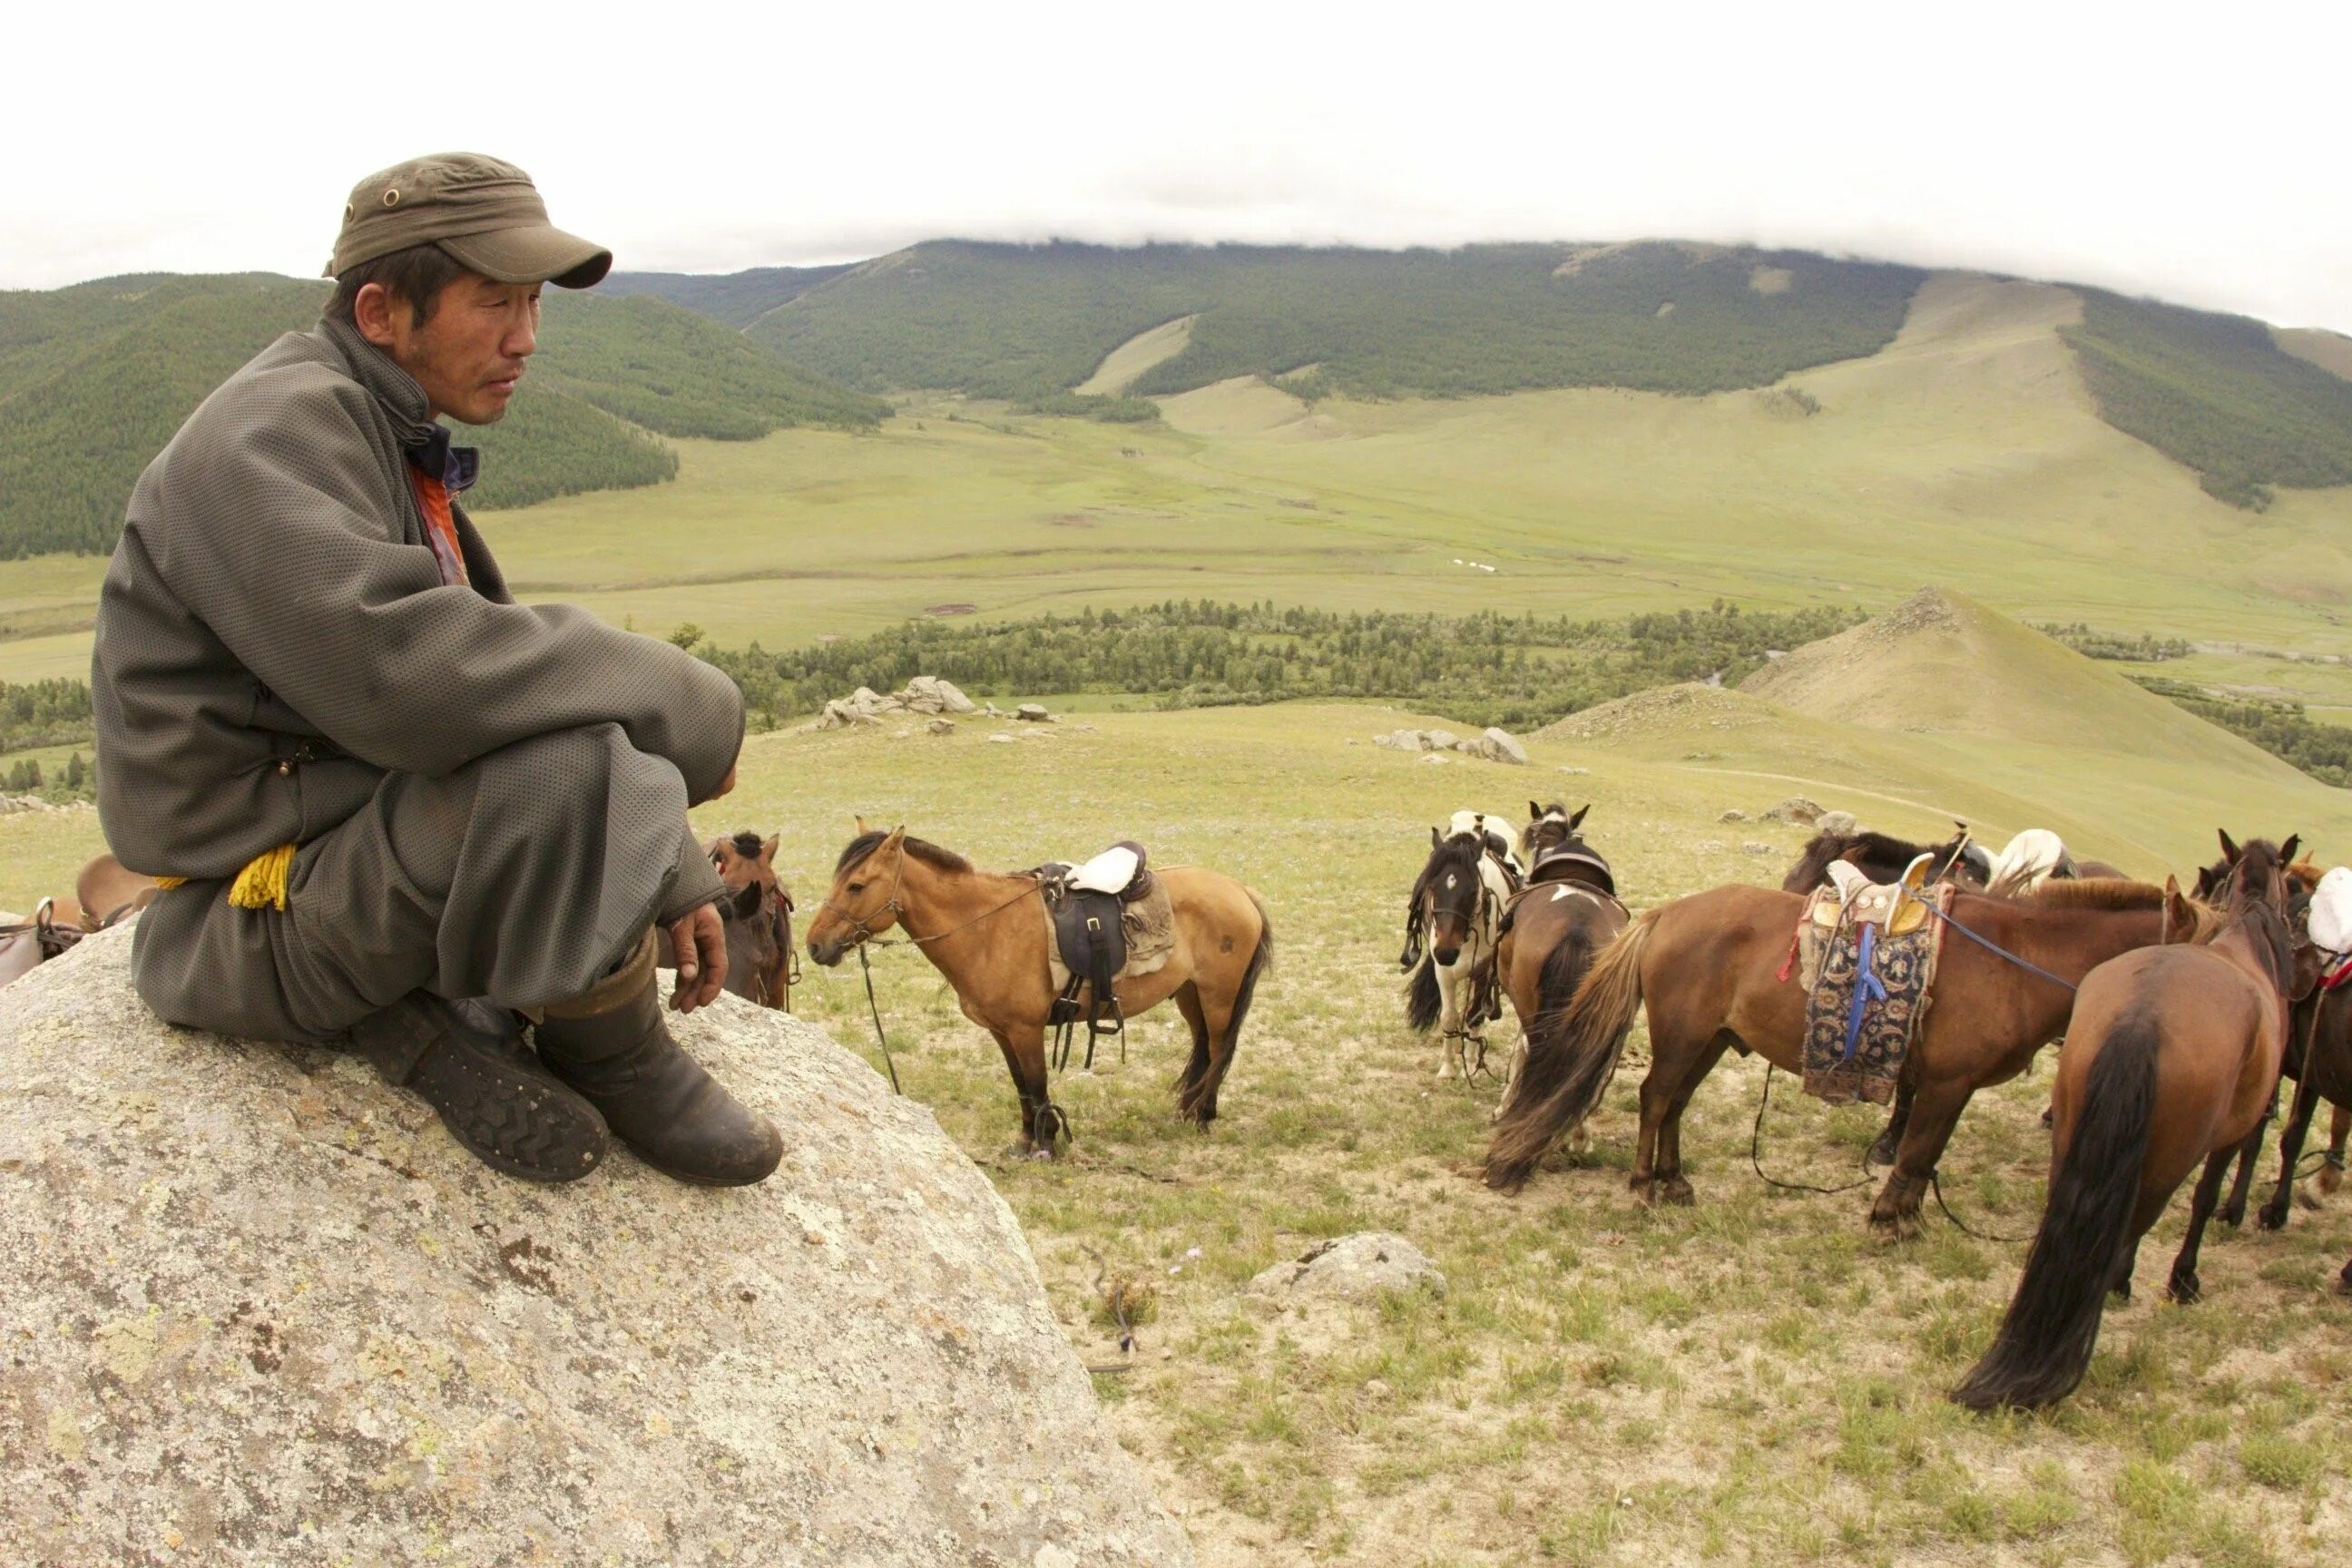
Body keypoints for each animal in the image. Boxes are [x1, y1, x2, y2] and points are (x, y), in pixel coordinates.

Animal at [799, 827, 1269, 1161]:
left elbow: (1038, 1084)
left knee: (1220, 1049)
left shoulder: (1025, 1029)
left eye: (857, 885)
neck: (986, 927)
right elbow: (1021, 1086)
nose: (815, 945)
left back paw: (1202, 1117)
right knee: (1204, 1048)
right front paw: (1027, 1139)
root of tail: (1239, 890)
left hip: (1219, 996)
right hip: (1190, 994)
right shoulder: (1001, 1031)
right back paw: (1188, 1112)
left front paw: (1046, 1143)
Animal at [1392, 808, 1524, 1081]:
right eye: (1431, 886)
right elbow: (1449, 1017)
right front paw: (1447, 1068)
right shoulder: (1442, 971)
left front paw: (1471, 1065)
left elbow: (1474, 1016)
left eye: (1473, 891)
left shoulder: (1483, 970)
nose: (1446, 951)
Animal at [1486, 878, 2182, 1231]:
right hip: (1684, 1035)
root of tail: (1665, 914)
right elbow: (1918, 1151)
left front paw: (1906, 1216)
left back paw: (1673, 1180)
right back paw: (1641, 1188)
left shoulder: (1948, 1086)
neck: (2013, 959)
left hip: (1711, 1040)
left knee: (1674, 1103)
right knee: (1656, 1098)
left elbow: (1925, 1154)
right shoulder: (1946, 1083)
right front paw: (1892, 1220)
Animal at [1947, 841, 2295, 1419]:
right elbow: (2204, 1200)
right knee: (2126, 1231)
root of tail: (2142, 1016)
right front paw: (2183, 1279)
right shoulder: (2229, 1136)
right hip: (2164, 1164)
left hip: (2072, 1136)